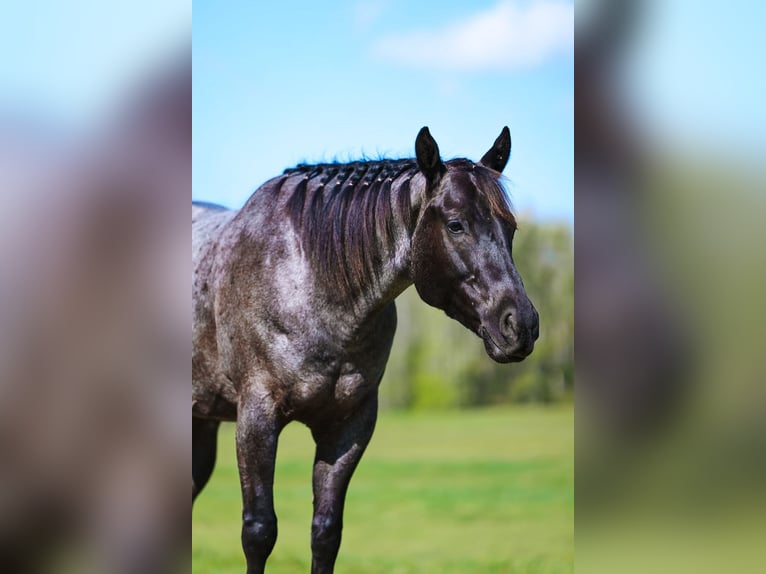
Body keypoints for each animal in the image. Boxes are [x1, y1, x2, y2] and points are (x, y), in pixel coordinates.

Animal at [192, 126, 539, 573]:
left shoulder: (349, 425)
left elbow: (326, 533)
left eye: (510, 227)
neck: (309, 281)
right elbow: (259, 531)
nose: (521, 326)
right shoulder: (256, 417)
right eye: (456, 224)